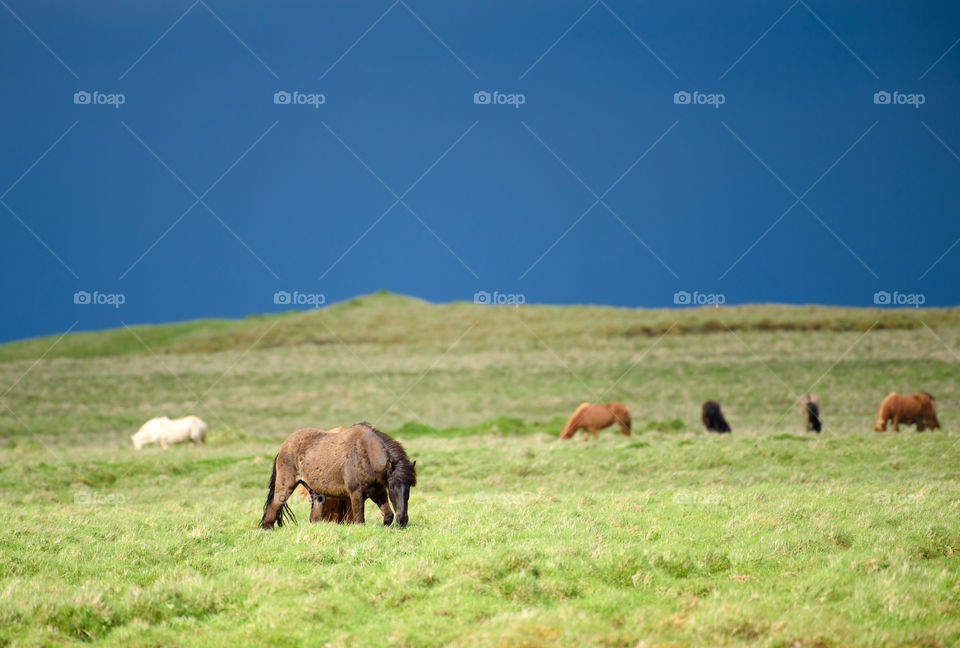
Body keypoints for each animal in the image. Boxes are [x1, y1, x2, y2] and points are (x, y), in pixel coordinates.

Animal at [260, 422, 414, 528]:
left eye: (409, 487)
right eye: (392, 487)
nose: (403, 520)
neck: (366, 455)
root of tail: (283, 447)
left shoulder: (378, 492)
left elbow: (388, 516)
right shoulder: (356, 494)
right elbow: (360, 521)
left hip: (316, 492)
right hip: (285, 487)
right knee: (273, 509)